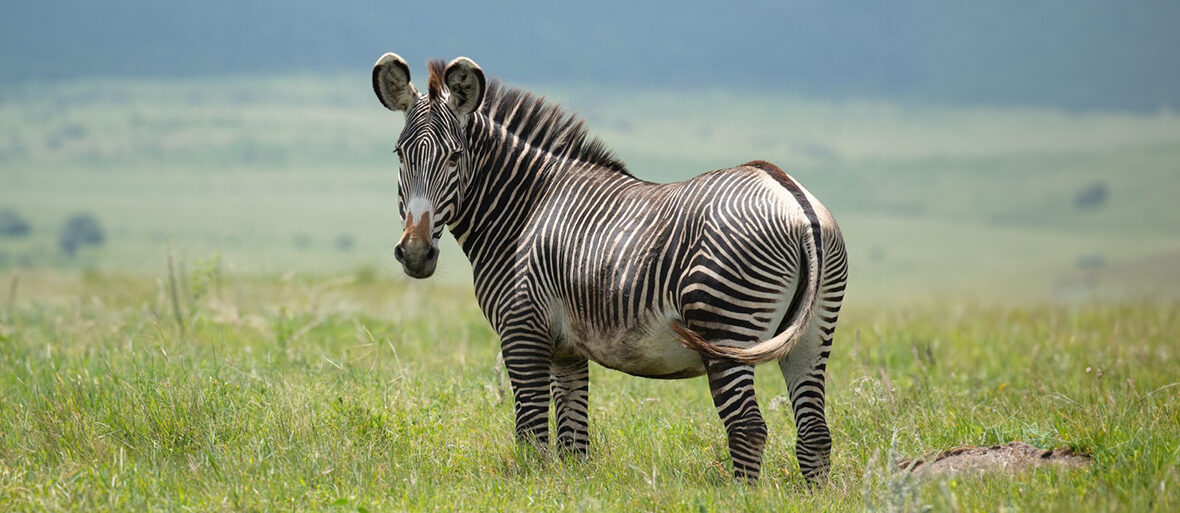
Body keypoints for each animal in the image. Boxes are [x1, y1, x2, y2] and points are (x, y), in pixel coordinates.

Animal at [372, 54, 844, 483]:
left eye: (454, 157)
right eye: (400, 154)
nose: (415, 253)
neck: (524, 209)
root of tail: (794, 200)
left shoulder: (522, 331)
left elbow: (532, 437)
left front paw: (532, 487)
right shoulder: (566, 349)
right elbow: (573, 443)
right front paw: (570, 490)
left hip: (725, 323)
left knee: (748, 428)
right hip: (812, 334)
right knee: (815, 435)